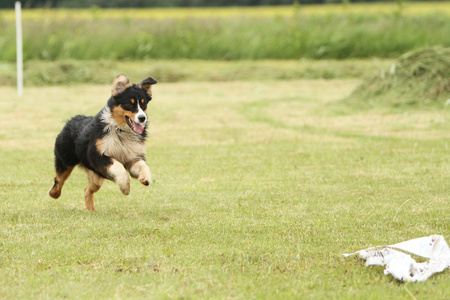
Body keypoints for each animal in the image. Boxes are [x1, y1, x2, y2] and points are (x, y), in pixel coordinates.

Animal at [49, 74, 157, 211]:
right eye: (129, 103)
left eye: (143, 104)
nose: (142, 118)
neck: (120, 131)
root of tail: (72, 119)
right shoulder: (96, 155)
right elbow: (118, 166)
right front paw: (125, 187)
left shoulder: (133, 157)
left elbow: (143, 166)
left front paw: (145, 178)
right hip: (65, 161)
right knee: (59, 180)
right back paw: (54, 194)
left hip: (96, 177)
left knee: (87, 190)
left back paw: (91, 210)